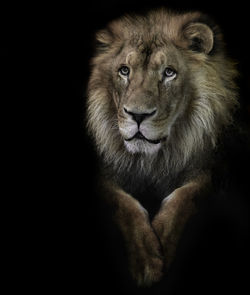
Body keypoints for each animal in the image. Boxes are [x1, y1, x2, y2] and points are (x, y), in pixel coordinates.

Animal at [86, 8, 238, 286]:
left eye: (169, 73)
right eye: (124, 71)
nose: (137, 115)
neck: (152, 159)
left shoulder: (210, 167)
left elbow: (185, 195)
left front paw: (161, 249)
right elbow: (123, 202)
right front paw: (146, 258)